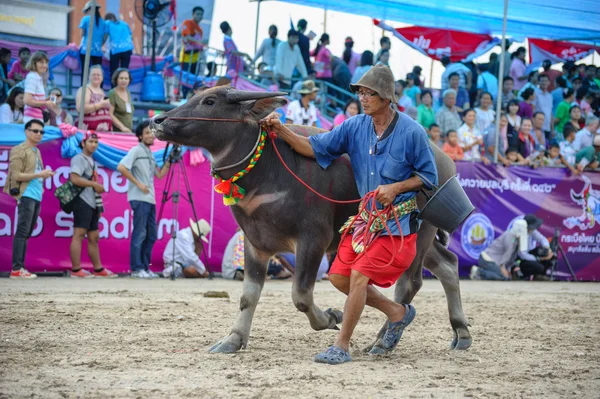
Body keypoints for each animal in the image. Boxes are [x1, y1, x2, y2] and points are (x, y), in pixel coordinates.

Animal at [149, 86, 468, 354]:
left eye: (210, 101)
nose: (157, 120)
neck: (265, 171)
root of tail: (440, 158)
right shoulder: (255, 243)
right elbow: (248, 296)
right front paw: (233, 339)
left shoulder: (313, 239)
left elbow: (301, 294)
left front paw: (330, 317)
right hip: (419, 239)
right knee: (448, 264)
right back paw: (460, 333)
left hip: (415, 234)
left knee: (409, 283)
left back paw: (383, 339)